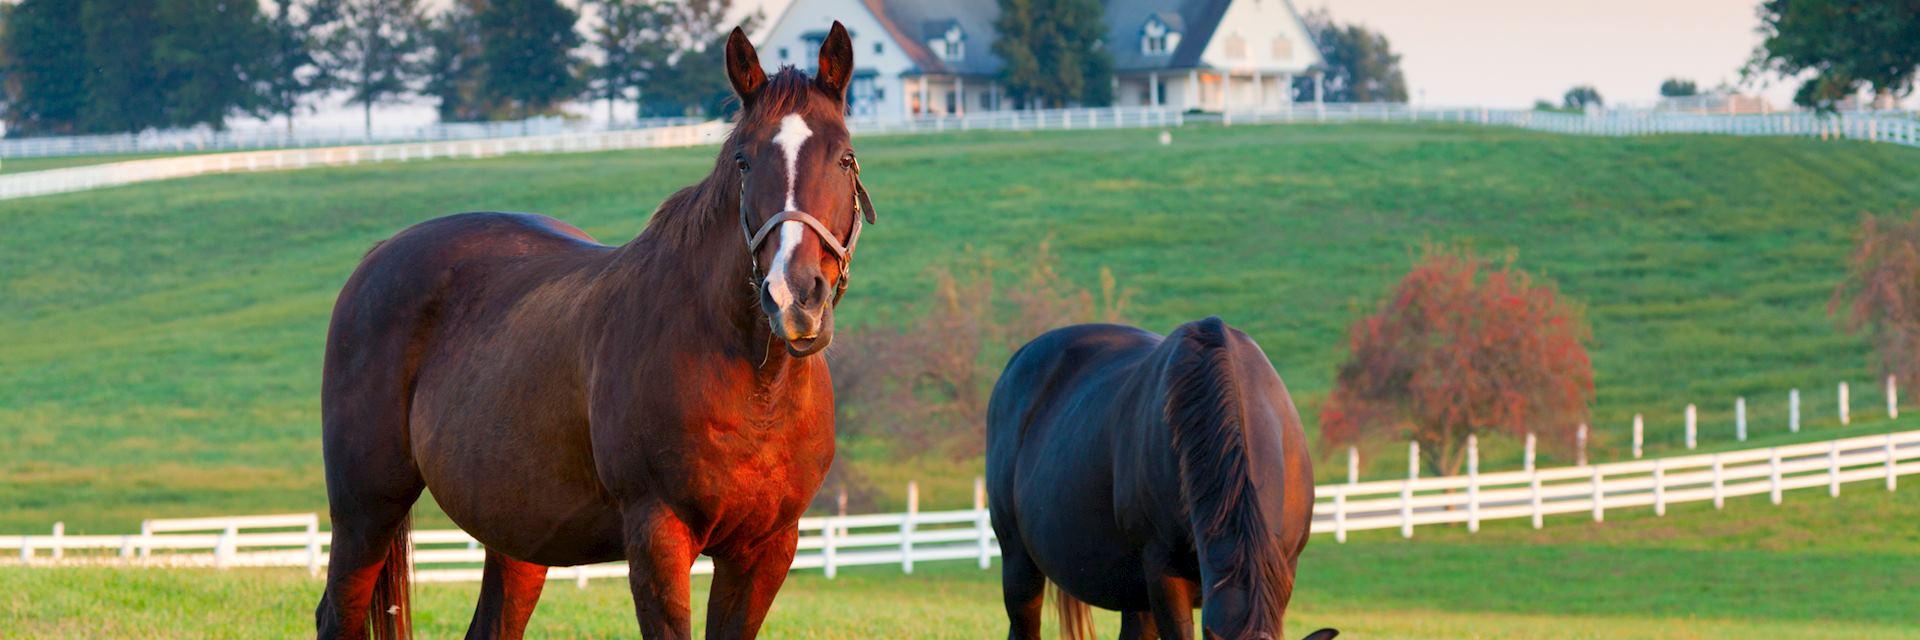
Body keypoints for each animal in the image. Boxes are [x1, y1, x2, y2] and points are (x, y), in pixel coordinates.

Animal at [316, 24, 879, 638]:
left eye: (845, 158)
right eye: (744, 162)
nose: (793, 297)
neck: (755, 386)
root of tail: (377, 256)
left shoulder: (765, 551)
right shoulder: (657, 538)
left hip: (516, 535)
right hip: (366, 511)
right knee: (337, 611)